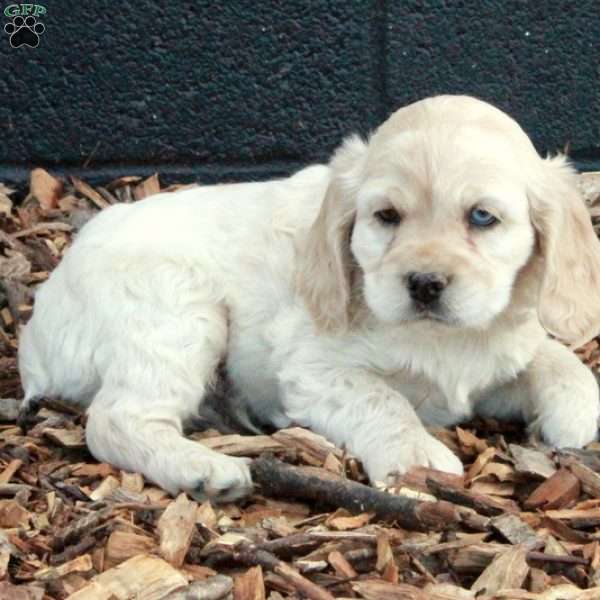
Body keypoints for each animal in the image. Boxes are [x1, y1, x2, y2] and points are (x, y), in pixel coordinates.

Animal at [17, 96, 600, 500]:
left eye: (482, 217)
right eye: (386, 216)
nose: (424, 284)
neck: (441, 340)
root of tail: (37, 324)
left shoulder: (494, 359)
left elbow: (559, 360)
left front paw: (571, 418)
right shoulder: (314, 370)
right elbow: (382, 400)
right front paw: (417, 460)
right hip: (174, 314)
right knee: (116, 419)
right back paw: (205, 470)